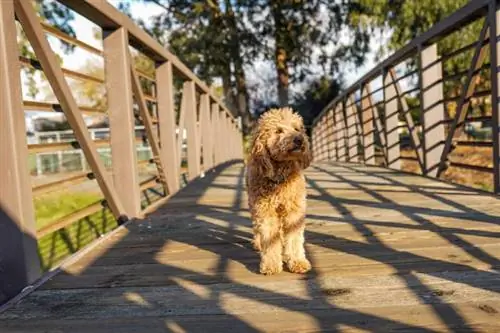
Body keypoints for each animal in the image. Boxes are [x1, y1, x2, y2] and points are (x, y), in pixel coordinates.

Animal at [246, 107, 312, 274]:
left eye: (297, 128)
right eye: (278, 131)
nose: (299, 139)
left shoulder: (294, 211)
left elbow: (294, 238)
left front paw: (297, 262)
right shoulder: (265, 210)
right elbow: (269, 238)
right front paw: (271, 265)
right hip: (253, 205)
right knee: (257, 227)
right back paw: (258, 243)